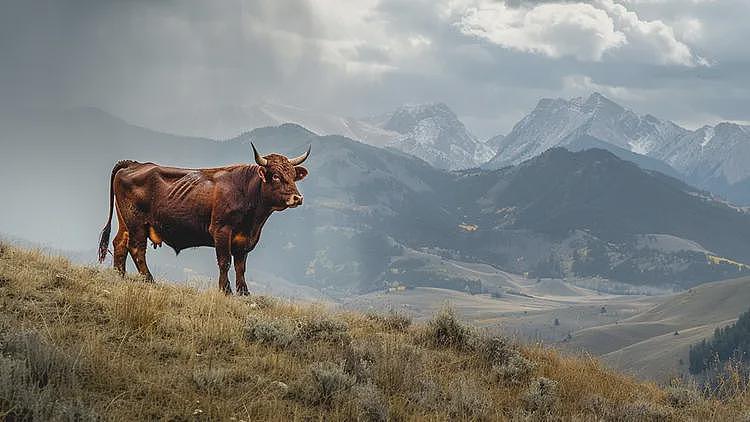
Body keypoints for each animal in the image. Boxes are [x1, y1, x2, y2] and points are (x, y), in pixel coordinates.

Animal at [98, 143, 310, 296]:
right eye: (275, 176)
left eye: (293, 175)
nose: (298, 198)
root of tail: (135, 164)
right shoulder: (222, 230)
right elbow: (225, 262)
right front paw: (226, 290)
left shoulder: (244, 239)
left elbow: (241, 266)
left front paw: (244, 293)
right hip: (137, 222)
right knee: (136, 249)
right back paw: (150, 280)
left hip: (126, 222)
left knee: (120, 243)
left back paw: (120, 275)